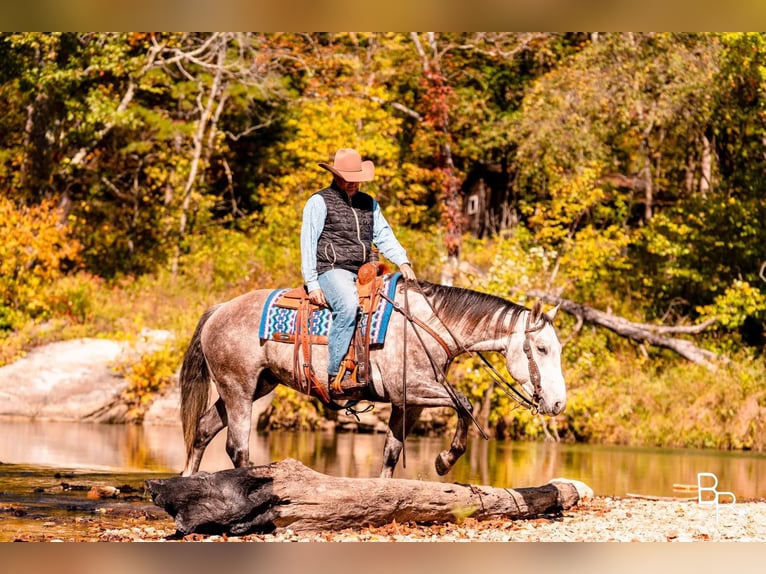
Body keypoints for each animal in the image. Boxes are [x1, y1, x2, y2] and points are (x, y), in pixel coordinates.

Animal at [178, 282, 564, 480]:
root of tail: (220, 309)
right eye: (542, 348)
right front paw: (445, 460)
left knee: (202, 431)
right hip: (239, 388)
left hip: (255, 386)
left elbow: (392, 452)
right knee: (237, 448)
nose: (559, 403)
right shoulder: (413, 389)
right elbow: (465, 404)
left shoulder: (408, 403)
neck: (427, 325)